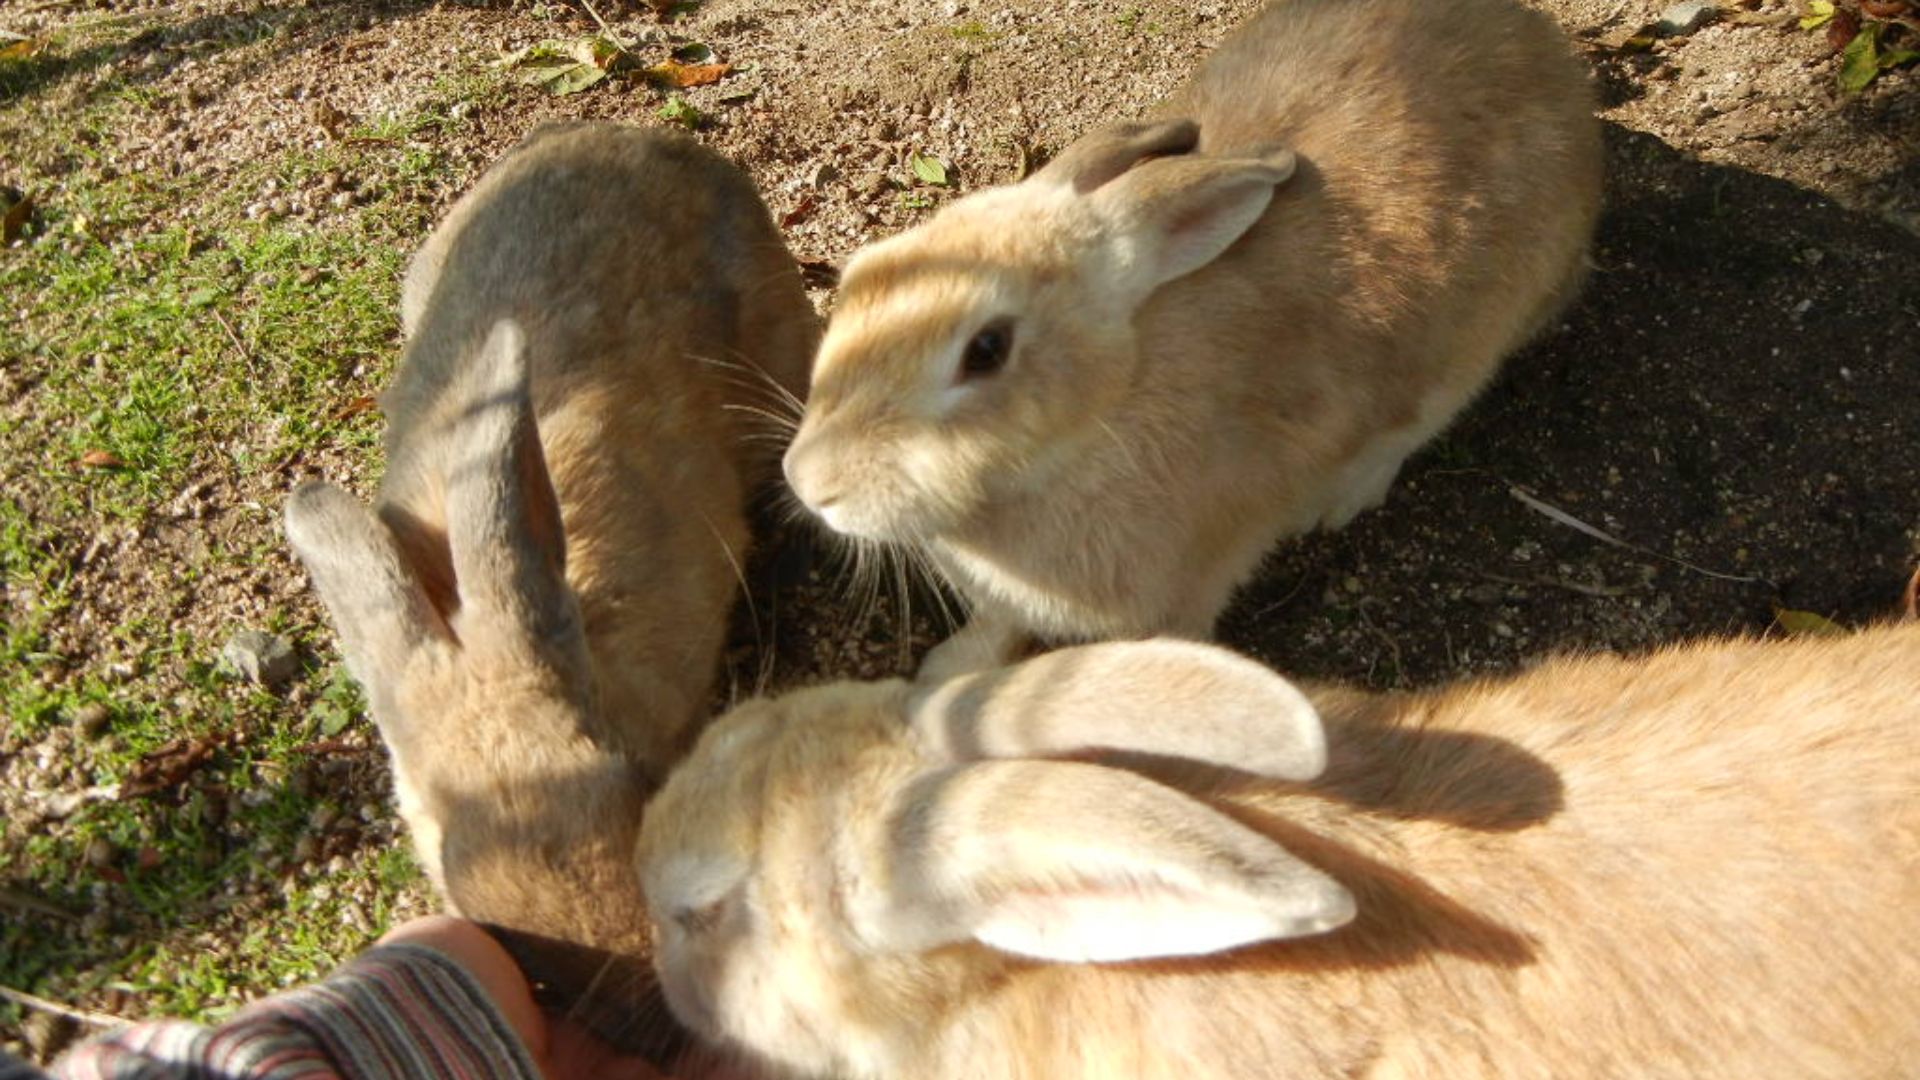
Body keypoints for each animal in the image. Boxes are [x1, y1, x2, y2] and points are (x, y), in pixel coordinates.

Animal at [780, 0, 1604, 679]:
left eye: (986, 350)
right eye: (861, 274)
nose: (809, 483)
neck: (1100, 419)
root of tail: (1547, 53)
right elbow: (995, 625)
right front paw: (943, 674)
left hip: (1474, 343)